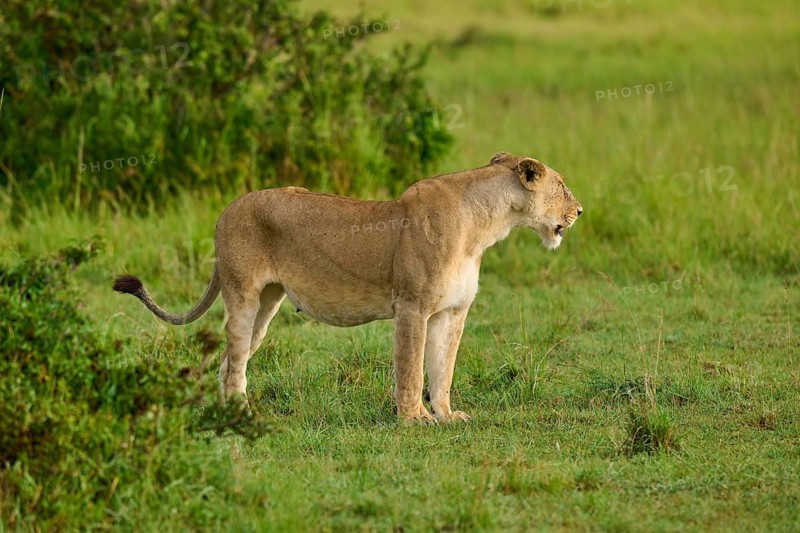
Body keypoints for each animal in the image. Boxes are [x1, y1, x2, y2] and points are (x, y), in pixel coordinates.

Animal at [113, 152, 582, 424]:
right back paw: (240, 415)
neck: (485, 226)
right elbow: (412, 369)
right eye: (563, 186)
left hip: (267, 304)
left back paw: (234, 410)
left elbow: (442, 370)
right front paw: (414, 421)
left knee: (231, 361)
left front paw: (447, 416)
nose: (579, 210)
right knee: (233, 360)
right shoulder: (412, 306)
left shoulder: (452, 311)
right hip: (243, 296)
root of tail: (226, 209)